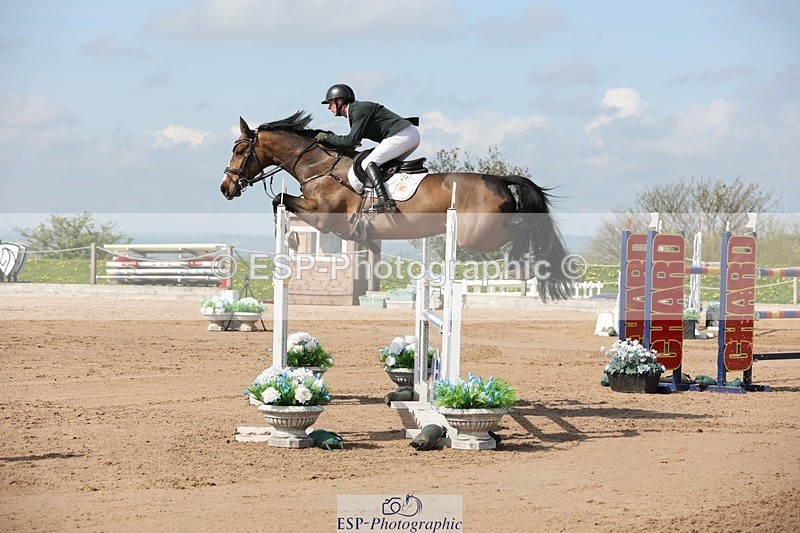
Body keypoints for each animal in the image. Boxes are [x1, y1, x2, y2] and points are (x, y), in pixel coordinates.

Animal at [220, 111, 575, 301]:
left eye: (239, 151)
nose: (225, 188)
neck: (318, 164)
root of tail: (500, 179)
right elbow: (280, 202)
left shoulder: (322, 218)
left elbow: (279, 200)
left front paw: (289, 237)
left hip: (476, 235)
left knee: (523, 227)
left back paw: (522, 263)